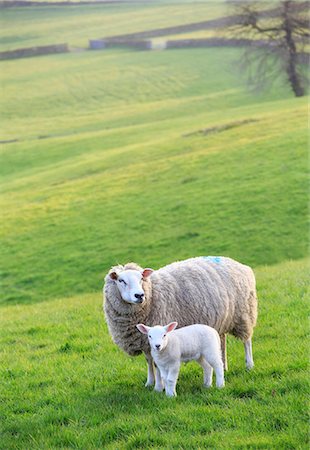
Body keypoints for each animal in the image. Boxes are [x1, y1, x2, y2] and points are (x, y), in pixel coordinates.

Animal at [103, 256, 258, 390]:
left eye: (141, 278)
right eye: (121, 280)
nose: (140, 295)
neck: (152, 294)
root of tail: (239, 264)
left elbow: (157, 365)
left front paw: (159, 386)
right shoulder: (144, 340)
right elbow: (149, 361)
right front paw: (149, 382)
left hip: (244, 313)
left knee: (247, 341)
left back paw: (249, 365)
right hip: (222, 320)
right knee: (222, 342)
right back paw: (225, 366)